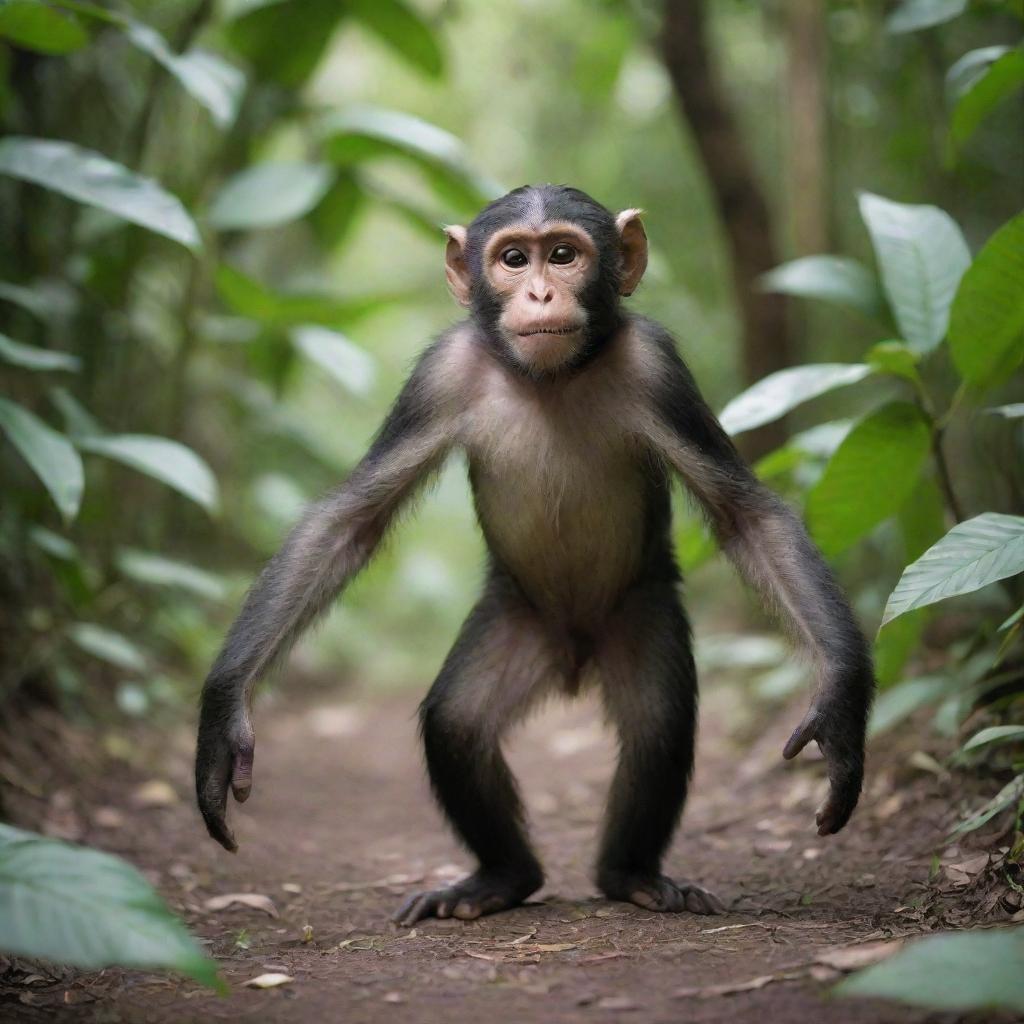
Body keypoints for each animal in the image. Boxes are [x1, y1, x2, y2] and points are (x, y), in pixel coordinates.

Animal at [195, 186, 876, 929]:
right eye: (514, 259)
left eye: (564, 254)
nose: (542, 292)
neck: (554, 379)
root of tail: (573, 658)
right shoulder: (439, 374)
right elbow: (348, 522)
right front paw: (223, 716)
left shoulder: (658, 368)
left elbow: (748, 517)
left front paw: (841, 710)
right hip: (516, 621)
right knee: (457, 724)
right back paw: (500, 878)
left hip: (639, 614)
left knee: (657, 727)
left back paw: (629, 874)